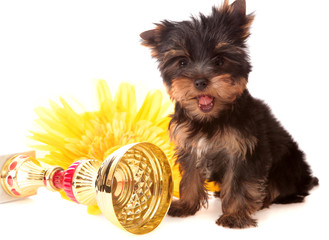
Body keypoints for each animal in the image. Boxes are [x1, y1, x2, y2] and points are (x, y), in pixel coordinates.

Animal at [139, 0, 318, 229]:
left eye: (219, 60)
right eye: (182, 62)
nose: (200, 81)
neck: (210, 119)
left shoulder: (244, 149)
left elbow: (240, 182)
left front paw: (235, 215)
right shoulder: (190, 145)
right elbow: (190, 176)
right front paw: (186, 205)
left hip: (288, 165)